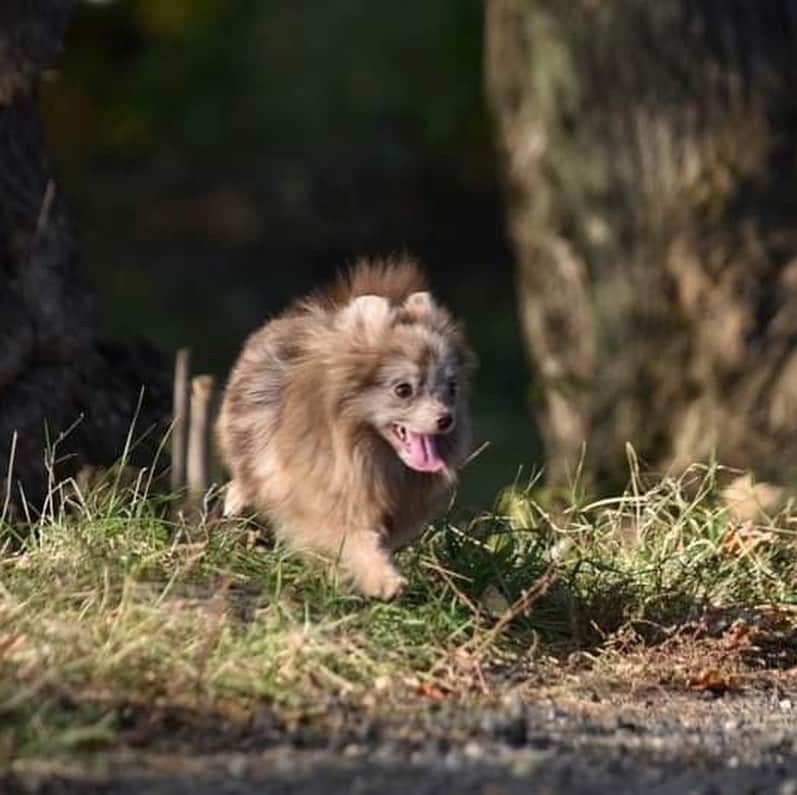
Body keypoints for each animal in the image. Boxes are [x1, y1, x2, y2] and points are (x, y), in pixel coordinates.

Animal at [215, 256, 472, 596]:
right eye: (403, 389)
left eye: (451, 389)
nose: (446, 418)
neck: (366, 454)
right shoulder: (322, 500)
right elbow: (353, 541)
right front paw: (382, 579)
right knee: (246, 471)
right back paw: (237, 499)